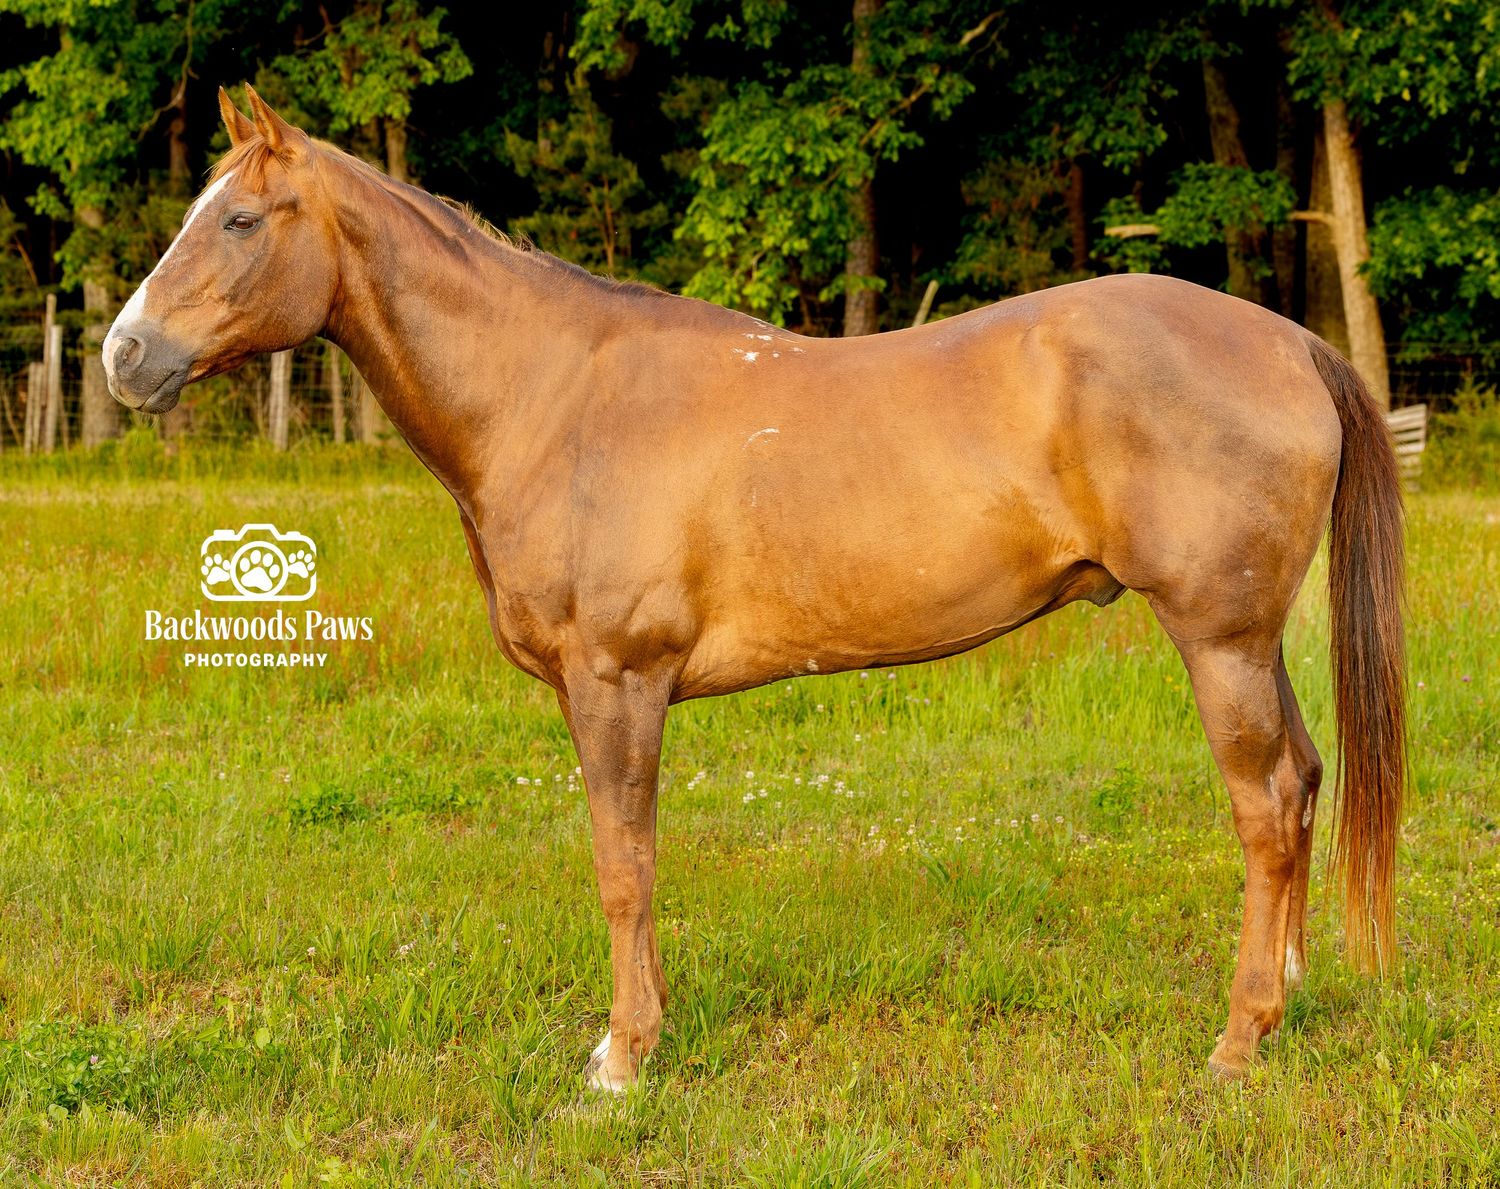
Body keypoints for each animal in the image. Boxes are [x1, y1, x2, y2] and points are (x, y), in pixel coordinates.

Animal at [103, 87, 1406, 1091]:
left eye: (239, 218)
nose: (125, 355)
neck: (555, 395)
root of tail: (1290, 342)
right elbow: (635, 863)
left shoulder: (617, 683)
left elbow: (622, 867)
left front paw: (623, 1059)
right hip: (1253, 643)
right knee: (1304, 783)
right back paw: (1285, 997)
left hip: (1219, 640)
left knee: (1265, 808)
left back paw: (1237, 1042)